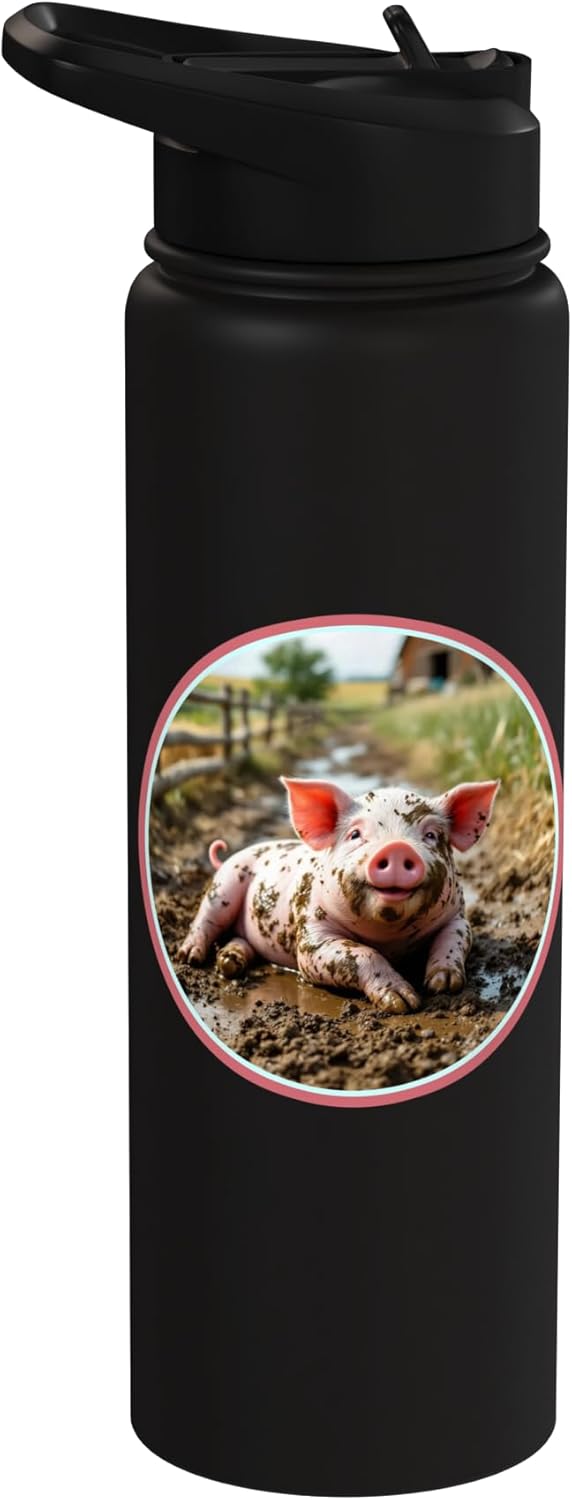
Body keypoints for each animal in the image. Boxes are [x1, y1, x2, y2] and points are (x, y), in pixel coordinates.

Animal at [178, 777, 499, 1014]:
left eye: (431, 836)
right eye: (355, 835)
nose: (397, 847)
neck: (390, 938)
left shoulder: (458, 918)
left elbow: (453, 940)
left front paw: (442, 984)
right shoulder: (310, 941)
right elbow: (361, 954)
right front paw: (404, 1002)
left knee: (239, 940)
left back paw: (229, 962)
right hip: (224, 886)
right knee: (205, 921)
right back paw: (190, 957)